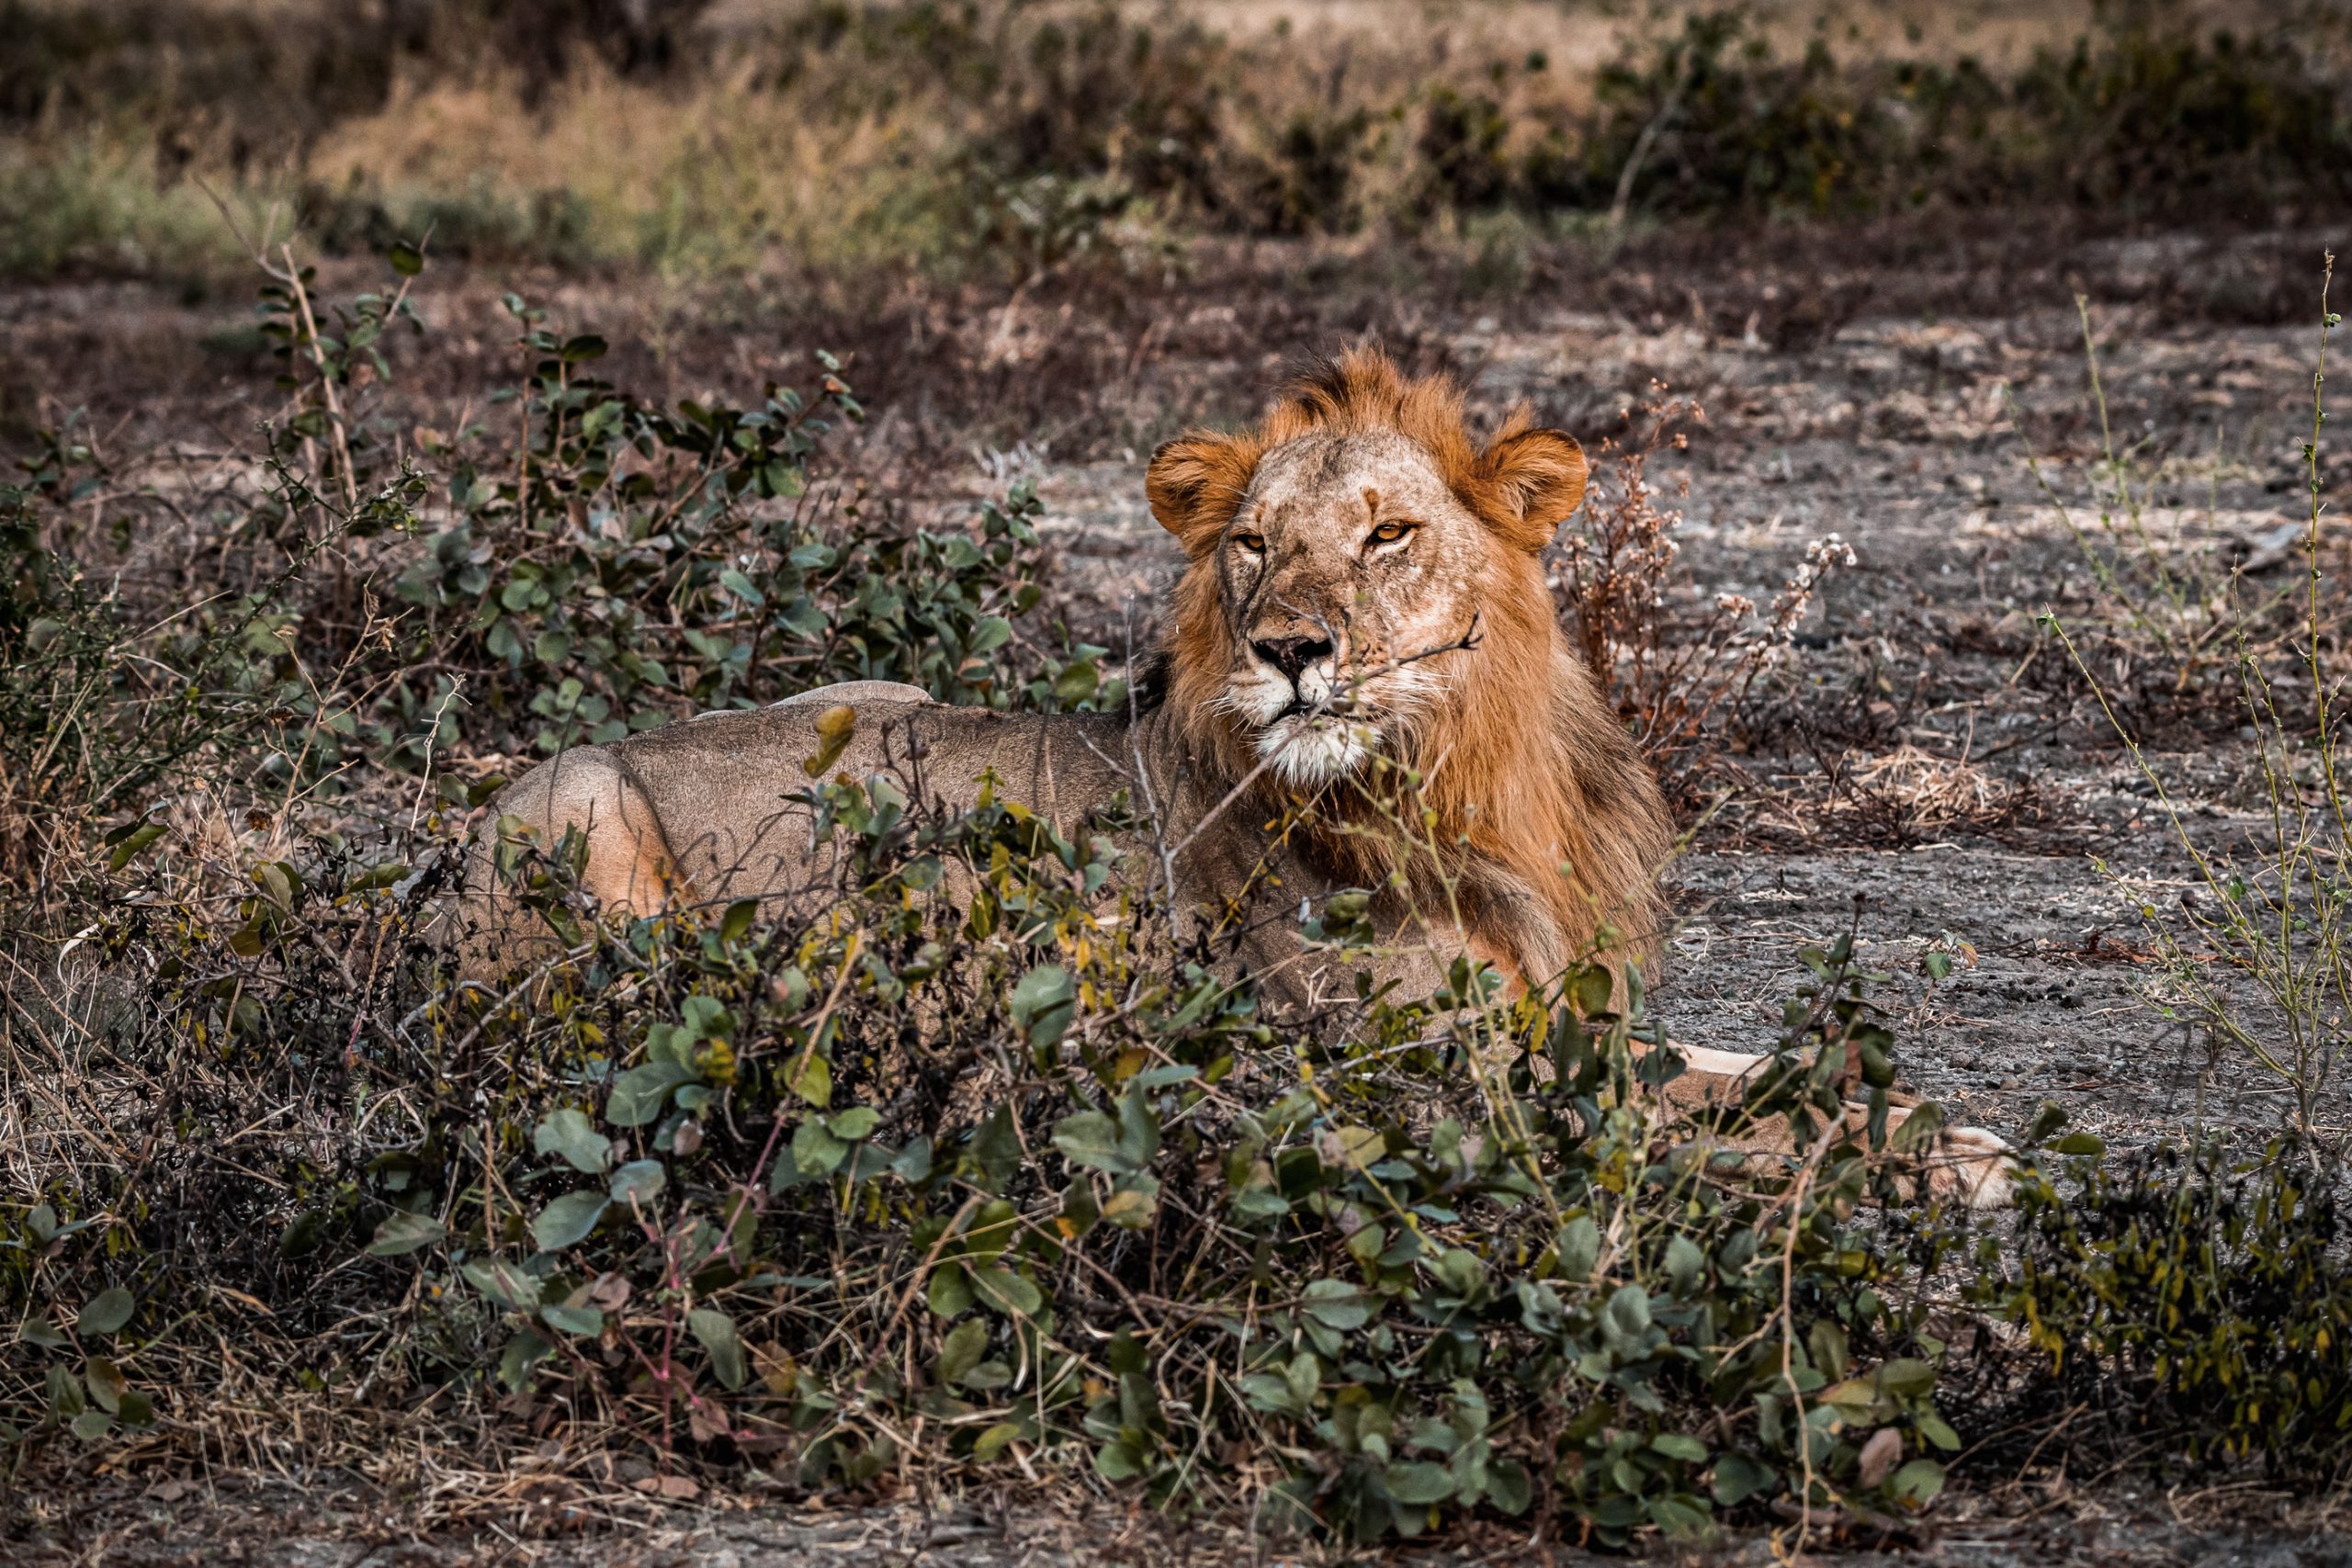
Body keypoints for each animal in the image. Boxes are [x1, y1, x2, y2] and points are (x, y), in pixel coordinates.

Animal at [453, 348, 2013, 1206]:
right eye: (1254, 544)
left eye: (1387, 533)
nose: (1290, 650)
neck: (1464, 788)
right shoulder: (1430, 1084)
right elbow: (1709, 1135)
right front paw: (1941, 1162)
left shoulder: (1571, 1014)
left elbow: (1750, 1072)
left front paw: (1946, 1125)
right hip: (585, 809)